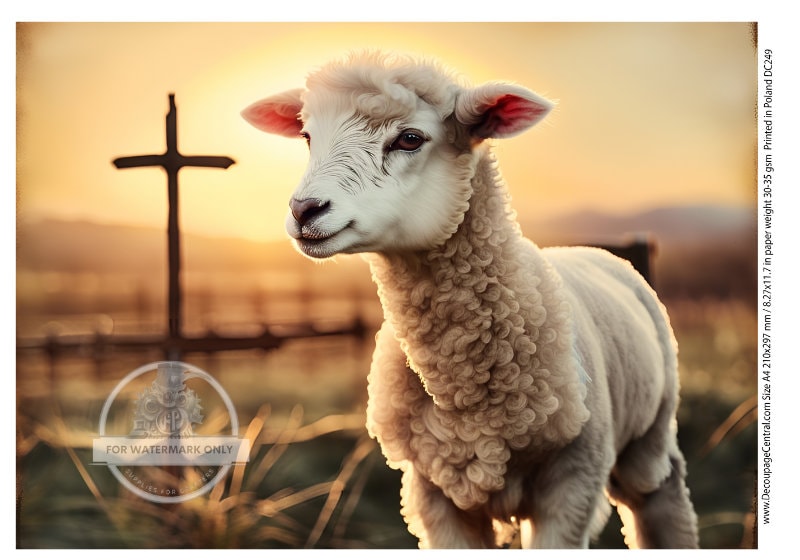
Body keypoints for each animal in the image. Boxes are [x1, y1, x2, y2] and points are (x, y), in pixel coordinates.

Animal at [242, 51, 699, 549]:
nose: (304, 210)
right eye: (308, 136)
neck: (464, 391)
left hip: (650, 431)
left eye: (409, 138)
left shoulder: (573, 481)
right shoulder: (430, 490)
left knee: (659, 497)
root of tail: (593, 251)